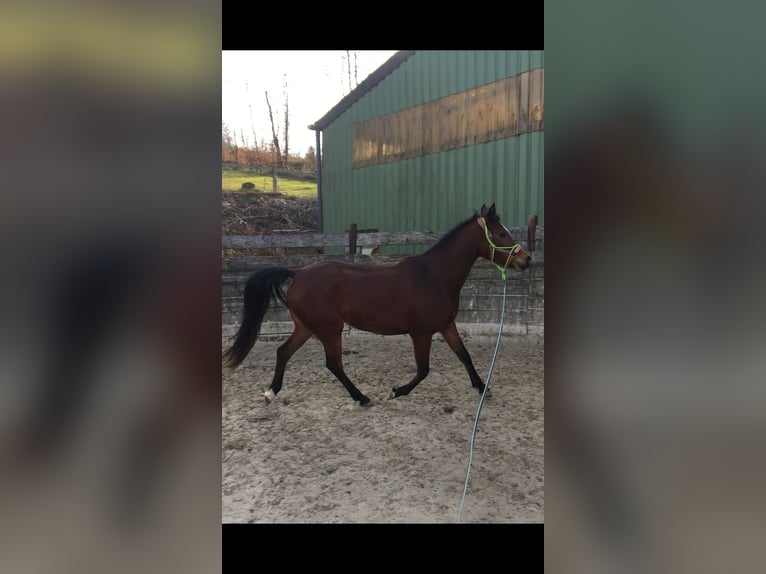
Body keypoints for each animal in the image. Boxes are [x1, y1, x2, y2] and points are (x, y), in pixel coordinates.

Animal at [225, 205, 532, 408]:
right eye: (501, 234)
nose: (525, 260)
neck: (434, 277)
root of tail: (297, 272)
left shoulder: (447, 325)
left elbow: (464, 356)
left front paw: (483, 388)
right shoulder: (420, 333)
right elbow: (423, 370)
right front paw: (395, 392)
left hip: (307, 327)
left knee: (284, 352)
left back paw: (271, 392)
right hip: (329, 330)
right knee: (333, 364)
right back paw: (362, 397)